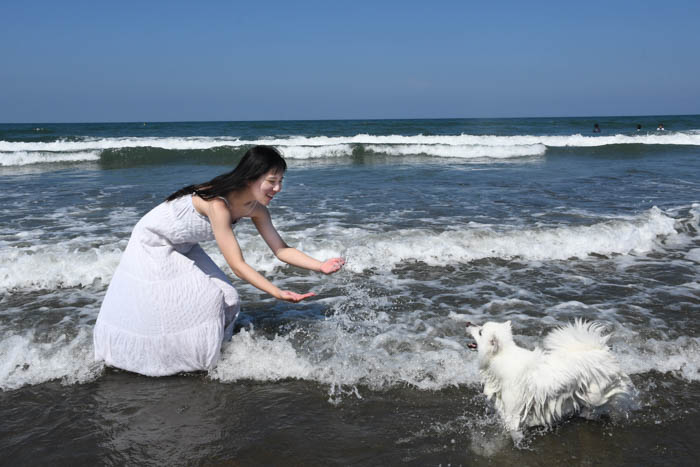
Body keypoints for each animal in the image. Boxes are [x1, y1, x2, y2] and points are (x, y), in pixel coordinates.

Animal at [468, 320, 632, 436]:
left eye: (480, 331)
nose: (468, 323)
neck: (502, 357)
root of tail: (601, 350)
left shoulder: (513, 411)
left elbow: (512, 429)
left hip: (595, 394)